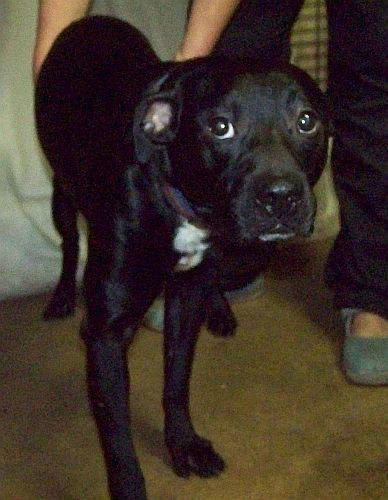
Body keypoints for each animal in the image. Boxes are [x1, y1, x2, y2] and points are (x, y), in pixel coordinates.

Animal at [34, 15, 328, 500]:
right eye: (220, 127)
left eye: (306, 121)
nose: (281, 197)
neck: (179, 201)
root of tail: (90, 19)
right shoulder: (106, 334)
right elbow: (117, 435)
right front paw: (130, 486)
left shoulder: (187, 298)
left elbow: (176, 381)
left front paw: (184, 445)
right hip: (62, 193)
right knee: (69, 242)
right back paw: (60, 296)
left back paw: (221, 309)